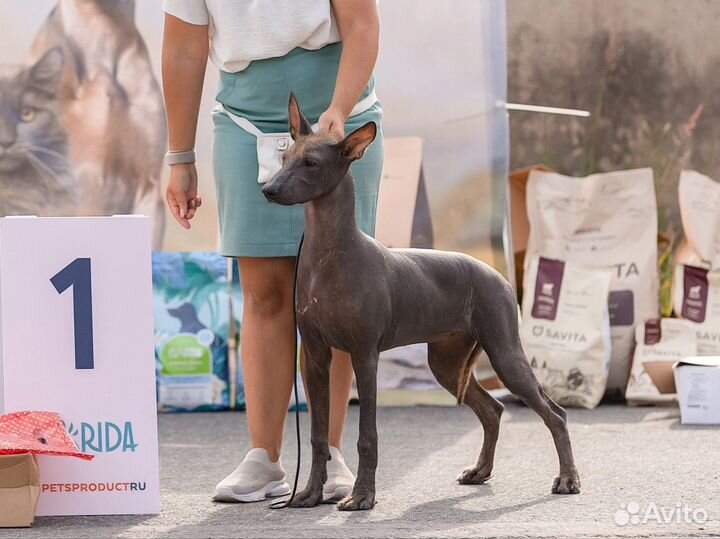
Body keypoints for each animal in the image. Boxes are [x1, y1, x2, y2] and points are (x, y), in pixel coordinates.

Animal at [262, 95, 584, 512]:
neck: (329, 252)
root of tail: (496, 275)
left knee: (555, 414)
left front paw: (362, 496)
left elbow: (367, 435)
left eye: (311, 163)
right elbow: (318, 435)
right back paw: (480, 471)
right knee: (493, 410)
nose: (268, 189)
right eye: (285, 157)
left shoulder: (364, 355)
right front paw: (310, 494)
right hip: (445, 363)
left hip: (505, 353)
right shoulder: (315, 357)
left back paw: (568, 479)